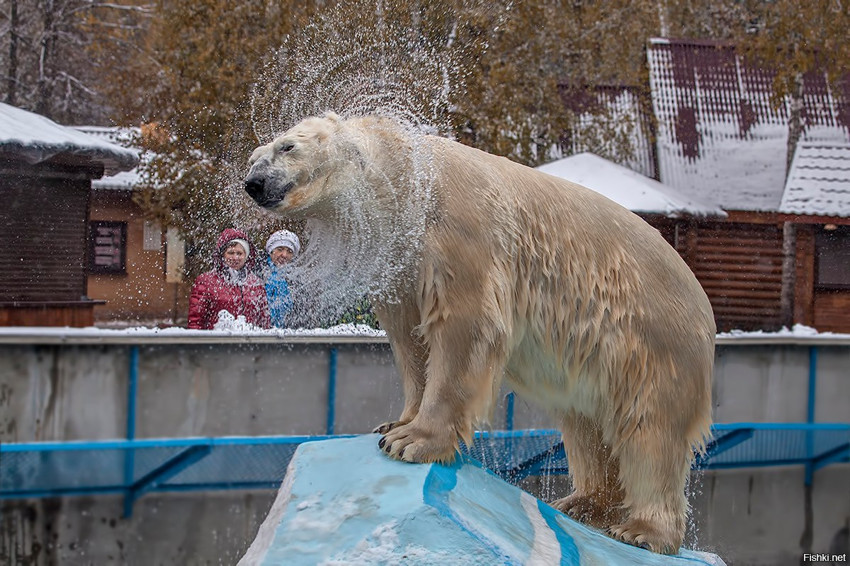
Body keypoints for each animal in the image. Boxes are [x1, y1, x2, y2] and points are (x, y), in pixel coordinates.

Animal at [242, 112, 712, 556]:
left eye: (286, 147)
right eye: (253, 156)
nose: (253, 183)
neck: (407, 182)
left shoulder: (460, 231)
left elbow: (463, 330)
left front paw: (412, 441)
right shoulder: (403, 262)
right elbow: (411, 341)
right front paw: (396, 422)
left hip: (653, 343)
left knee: (650, 433)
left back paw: (642, 531)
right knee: (588, 427)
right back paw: (583, 504)